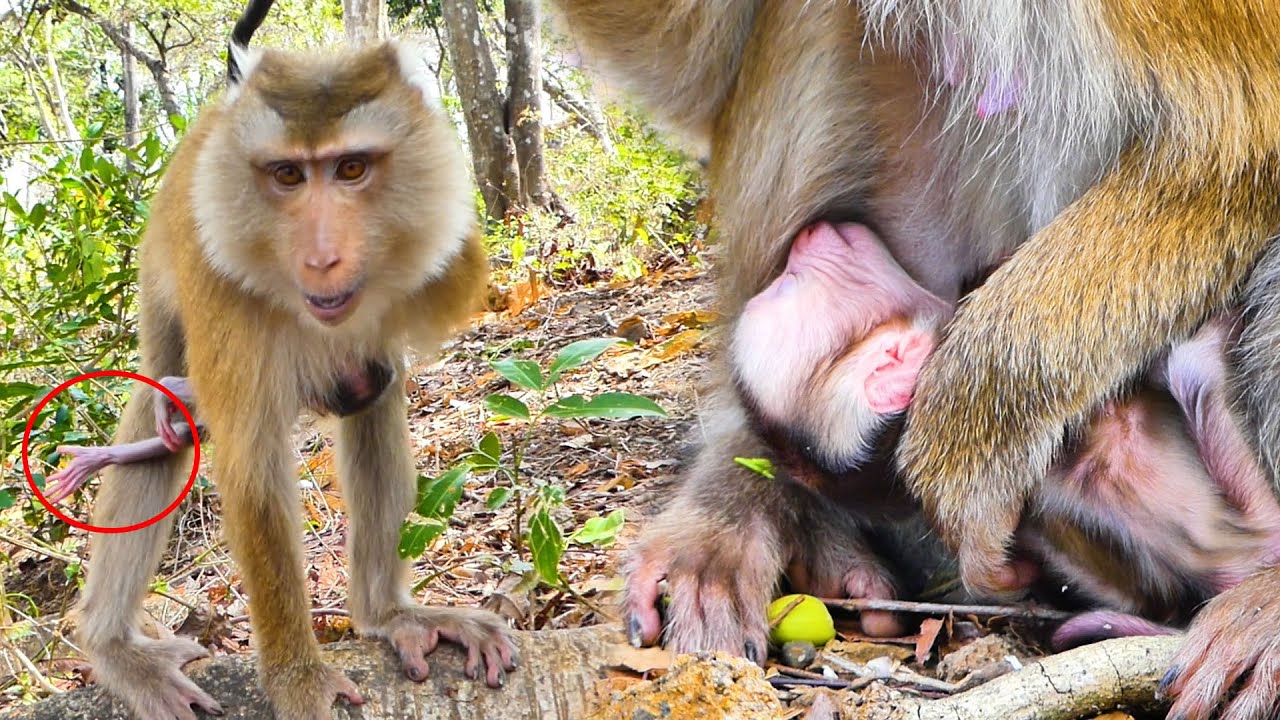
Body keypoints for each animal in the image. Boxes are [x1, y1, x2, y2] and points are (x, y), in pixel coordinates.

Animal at [70, 7, 517, 720]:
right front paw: (297, 676)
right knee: (157, 409)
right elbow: (252, 471)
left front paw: (389, 617)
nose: (322, 257)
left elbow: (376, 390)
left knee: (371, 402)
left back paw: (384, 613)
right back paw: (113, 646)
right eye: (287, 176)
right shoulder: (219, 280)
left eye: (351, 169)